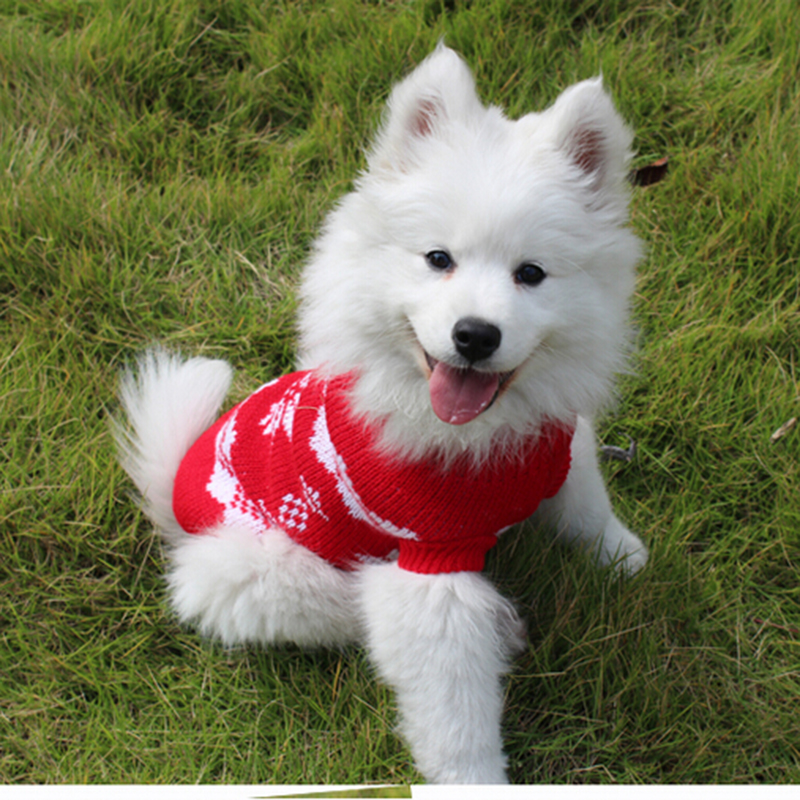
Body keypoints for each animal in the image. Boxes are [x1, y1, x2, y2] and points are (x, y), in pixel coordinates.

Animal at [115, 44, 648, 784]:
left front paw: (621, 556)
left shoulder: (559, 446)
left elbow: (584, 503)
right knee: (351, 612)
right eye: (438, 259)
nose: (474, 335)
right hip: (253, 569)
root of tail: (173, 490)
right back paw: (496, 623)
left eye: (531, 274)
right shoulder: (428, 570)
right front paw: (475, 780)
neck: (477, 430)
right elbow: (451, 710)